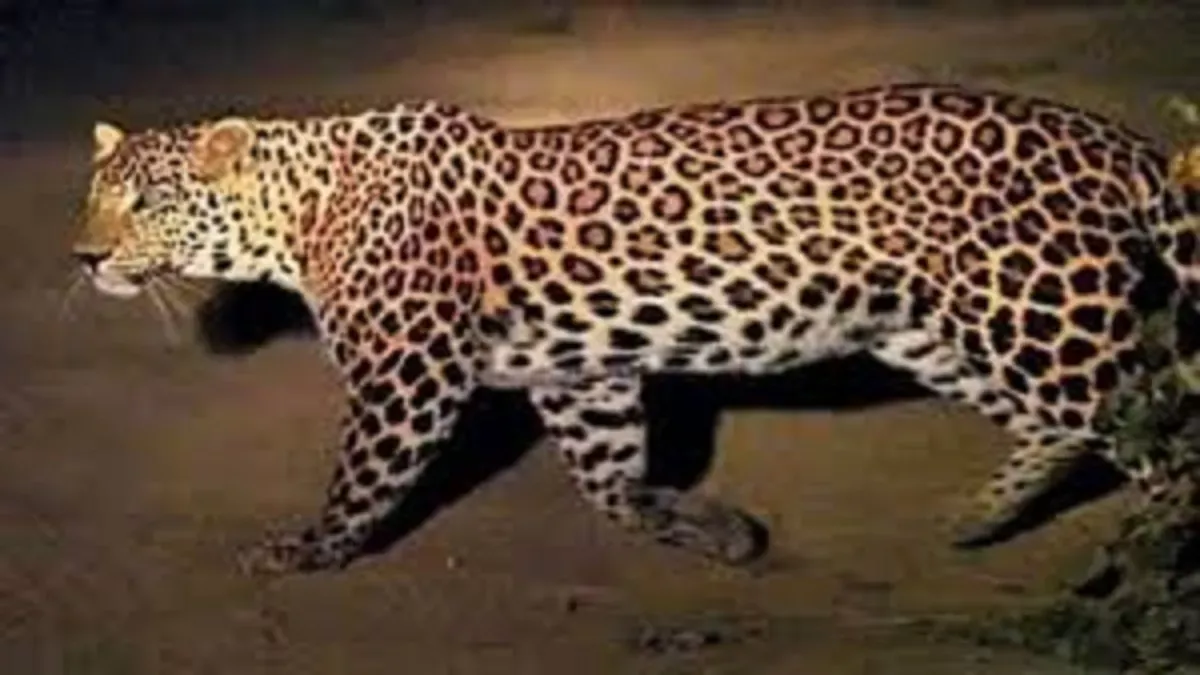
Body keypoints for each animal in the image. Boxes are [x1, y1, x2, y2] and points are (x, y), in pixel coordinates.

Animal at [71, 81, 1200, 576]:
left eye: (147, 202)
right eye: (94, 194)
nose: (82, 256)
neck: (295, 214)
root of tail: (1111, 138)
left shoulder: (409, 372)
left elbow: (365, 476)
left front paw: (310, 549)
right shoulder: (581, 376)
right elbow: (608, 484)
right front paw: (708, 527)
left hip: (1035, 315)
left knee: (1156, 430)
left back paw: (1156, 555)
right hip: (939, 328)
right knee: (1067, 427)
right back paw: (979, 516)